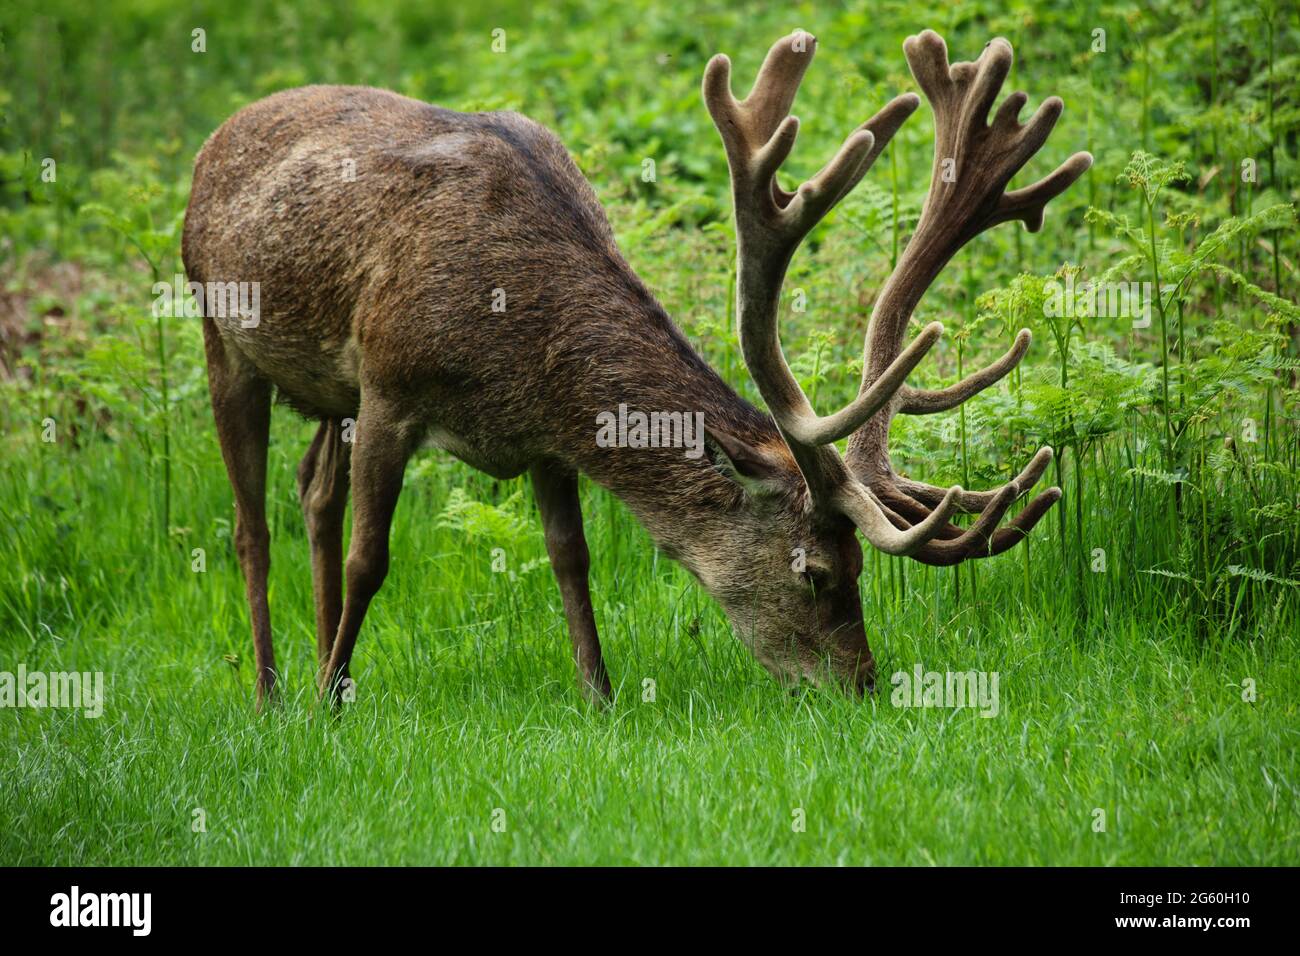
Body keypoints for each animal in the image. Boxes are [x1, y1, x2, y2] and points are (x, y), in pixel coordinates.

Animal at [183, 29, 1092, 707]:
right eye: (816, 572)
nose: (863, 685)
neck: (515, 339)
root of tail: (216, 136)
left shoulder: (541, 436)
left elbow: (570, 557)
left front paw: (600, 696)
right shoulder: (390, 386)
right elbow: (372, 559)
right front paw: (334, 700)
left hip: (324, 392)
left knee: (313, 491)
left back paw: (311, 665)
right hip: (220, 331)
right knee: (251, 522)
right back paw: (276, 691)